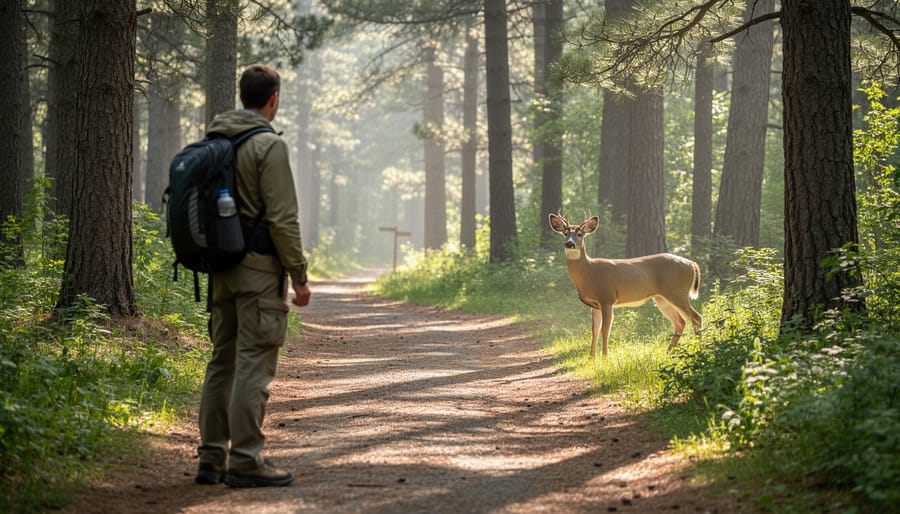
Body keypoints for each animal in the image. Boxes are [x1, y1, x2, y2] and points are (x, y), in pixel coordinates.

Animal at [548, 213, 702, 358]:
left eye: (579, 234)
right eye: (565, 233)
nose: (570, 244)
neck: (588, 273)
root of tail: (692, 264)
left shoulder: (607, 298)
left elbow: (605, 330)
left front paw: (605, 356)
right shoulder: (595, 305)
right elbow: (594, 330)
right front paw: (591, 357)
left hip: (677, 291)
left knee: (696, 317)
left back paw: (699, 348)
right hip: (662, 298)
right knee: (680, 322)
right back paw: (669, 352)